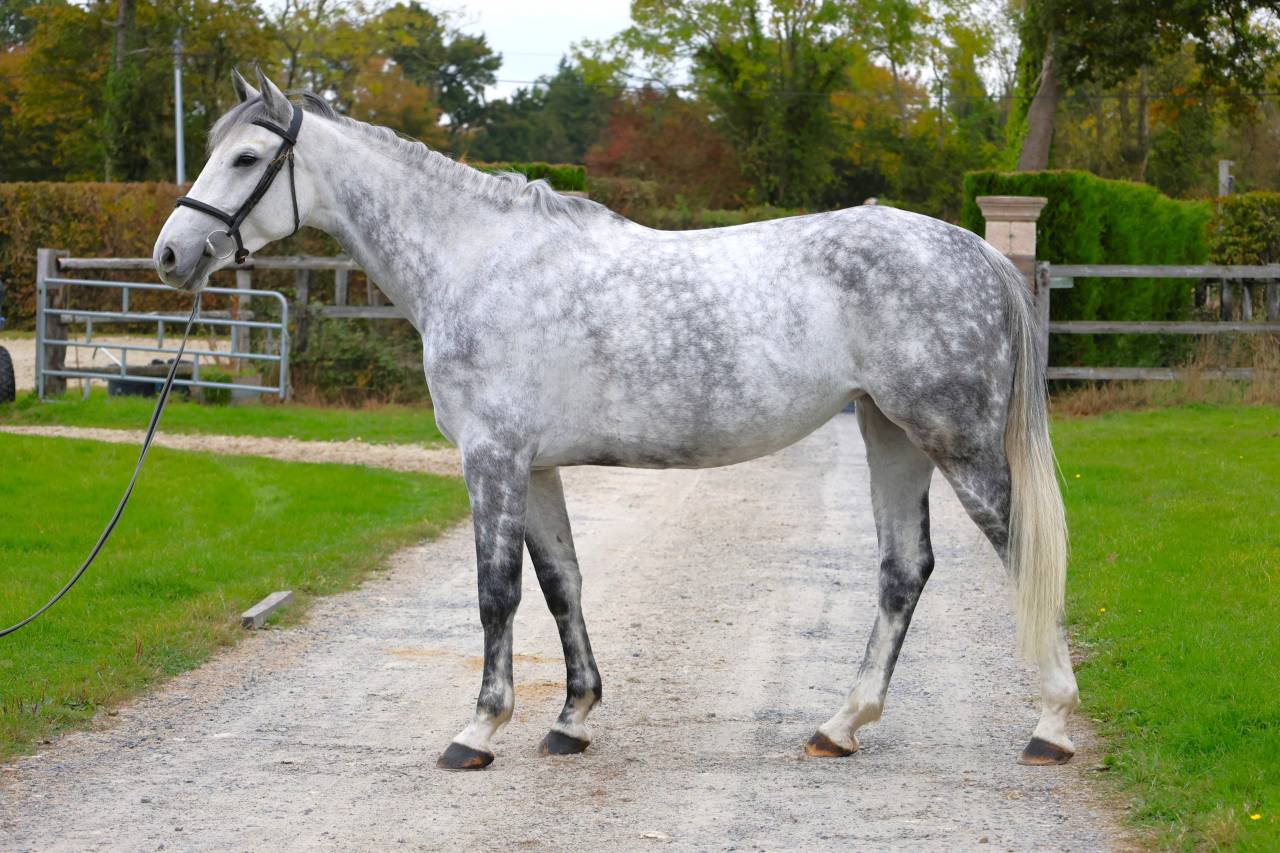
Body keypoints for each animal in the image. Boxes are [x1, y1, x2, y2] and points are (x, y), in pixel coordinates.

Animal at [154, 67, 1078, 771]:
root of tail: (983, 251)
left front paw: (478, 728)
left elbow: (496, 592)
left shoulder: (492, 458)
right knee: (904, 569)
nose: (171, 254)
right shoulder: (534, 465)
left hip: (956, 444)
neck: (479, 262)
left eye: (246, 156)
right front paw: (571, 718)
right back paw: (840, 724)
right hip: (891, 436)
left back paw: (1051, 725)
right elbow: (562, 582)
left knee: (1017, 555)